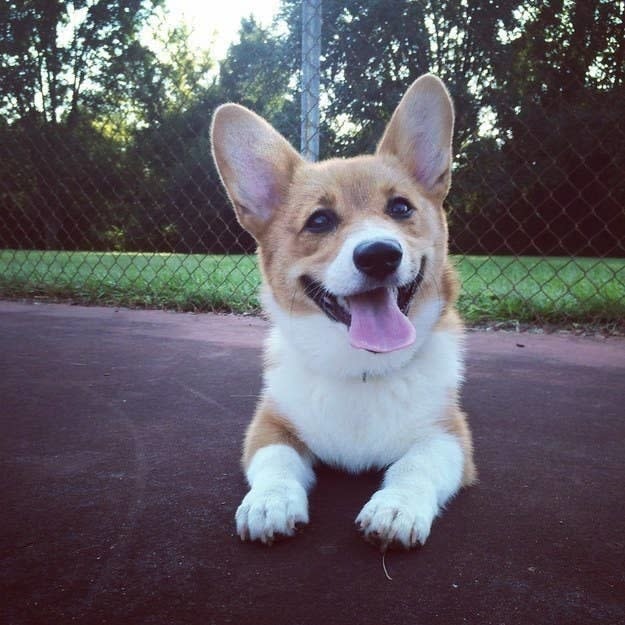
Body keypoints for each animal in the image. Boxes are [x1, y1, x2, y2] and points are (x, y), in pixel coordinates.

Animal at [212, 75, 476, 548]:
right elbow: (277, 461)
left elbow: (416, 464)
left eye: (400, 208)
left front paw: (395, 508)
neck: (361, 370)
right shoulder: (268, 425)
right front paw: (269, 503)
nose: (379, 255)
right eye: (319, 220)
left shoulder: (450, 437)